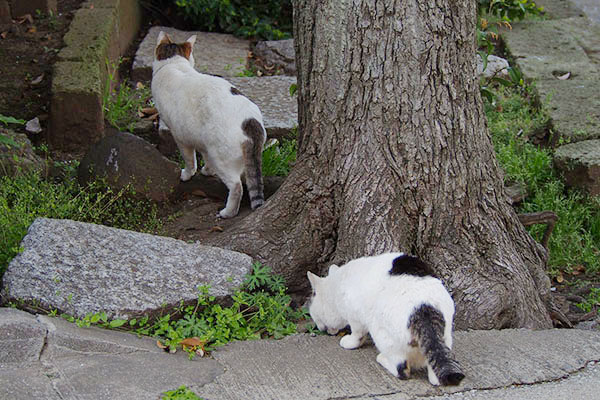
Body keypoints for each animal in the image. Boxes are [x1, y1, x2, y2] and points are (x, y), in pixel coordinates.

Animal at [152, 31, 268, 219]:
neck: (173, 65)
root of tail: (250, 121)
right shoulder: (201, 139)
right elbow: (204, 156)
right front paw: (207, 170)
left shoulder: (181, 137)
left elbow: (190, 161)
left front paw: (187, 174)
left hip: (220, 156)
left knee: (237, 186)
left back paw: (228, 212)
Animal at [308, 252, 466, 386]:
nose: (320, 328)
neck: (338, 284)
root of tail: (424, 308)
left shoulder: (355, 316)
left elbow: (357, 334)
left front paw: (349, 342)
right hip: (445, 338)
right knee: (435, 369)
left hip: (381, 333)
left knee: (402, 369)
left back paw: (382, 359)